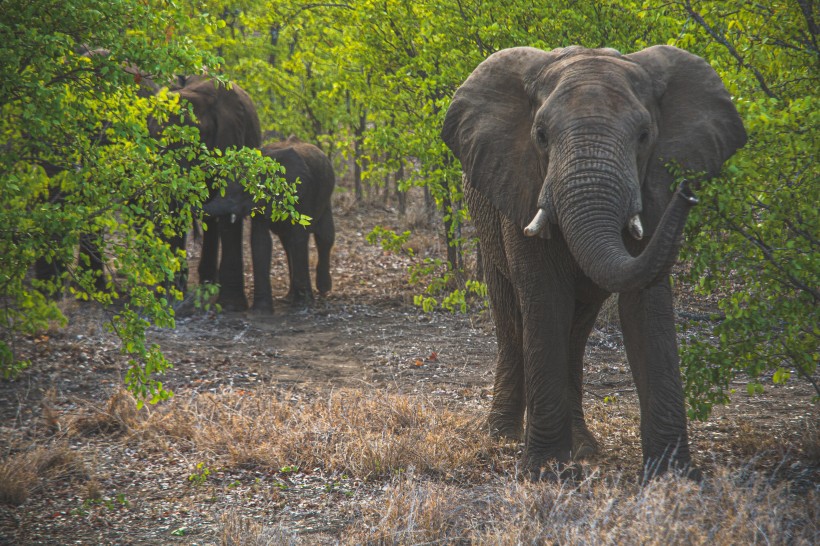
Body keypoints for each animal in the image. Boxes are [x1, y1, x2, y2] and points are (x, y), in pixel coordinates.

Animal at [203, 136, 334, 312]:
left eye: (243, 190)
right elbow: (260, 241)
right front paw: (261, 310)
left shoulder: (302, 193)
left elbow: (299, 238)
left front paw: (302, 304)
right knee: (287, 244)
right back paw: (289, 297)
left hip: (326, 195)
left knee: (324, 237)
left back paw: (323, 289)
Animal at [442, 47, 748, 480]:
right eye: (540, 136)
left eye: (644, 136)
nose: (686, 192)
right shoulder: (521, 184)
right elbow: (544, 299)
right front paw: (545, 470)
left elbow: (646, 307)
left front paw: (673, 477)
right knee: (512, 321)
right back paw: (502, 437)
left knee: (576, 333)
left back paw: (584, 448)